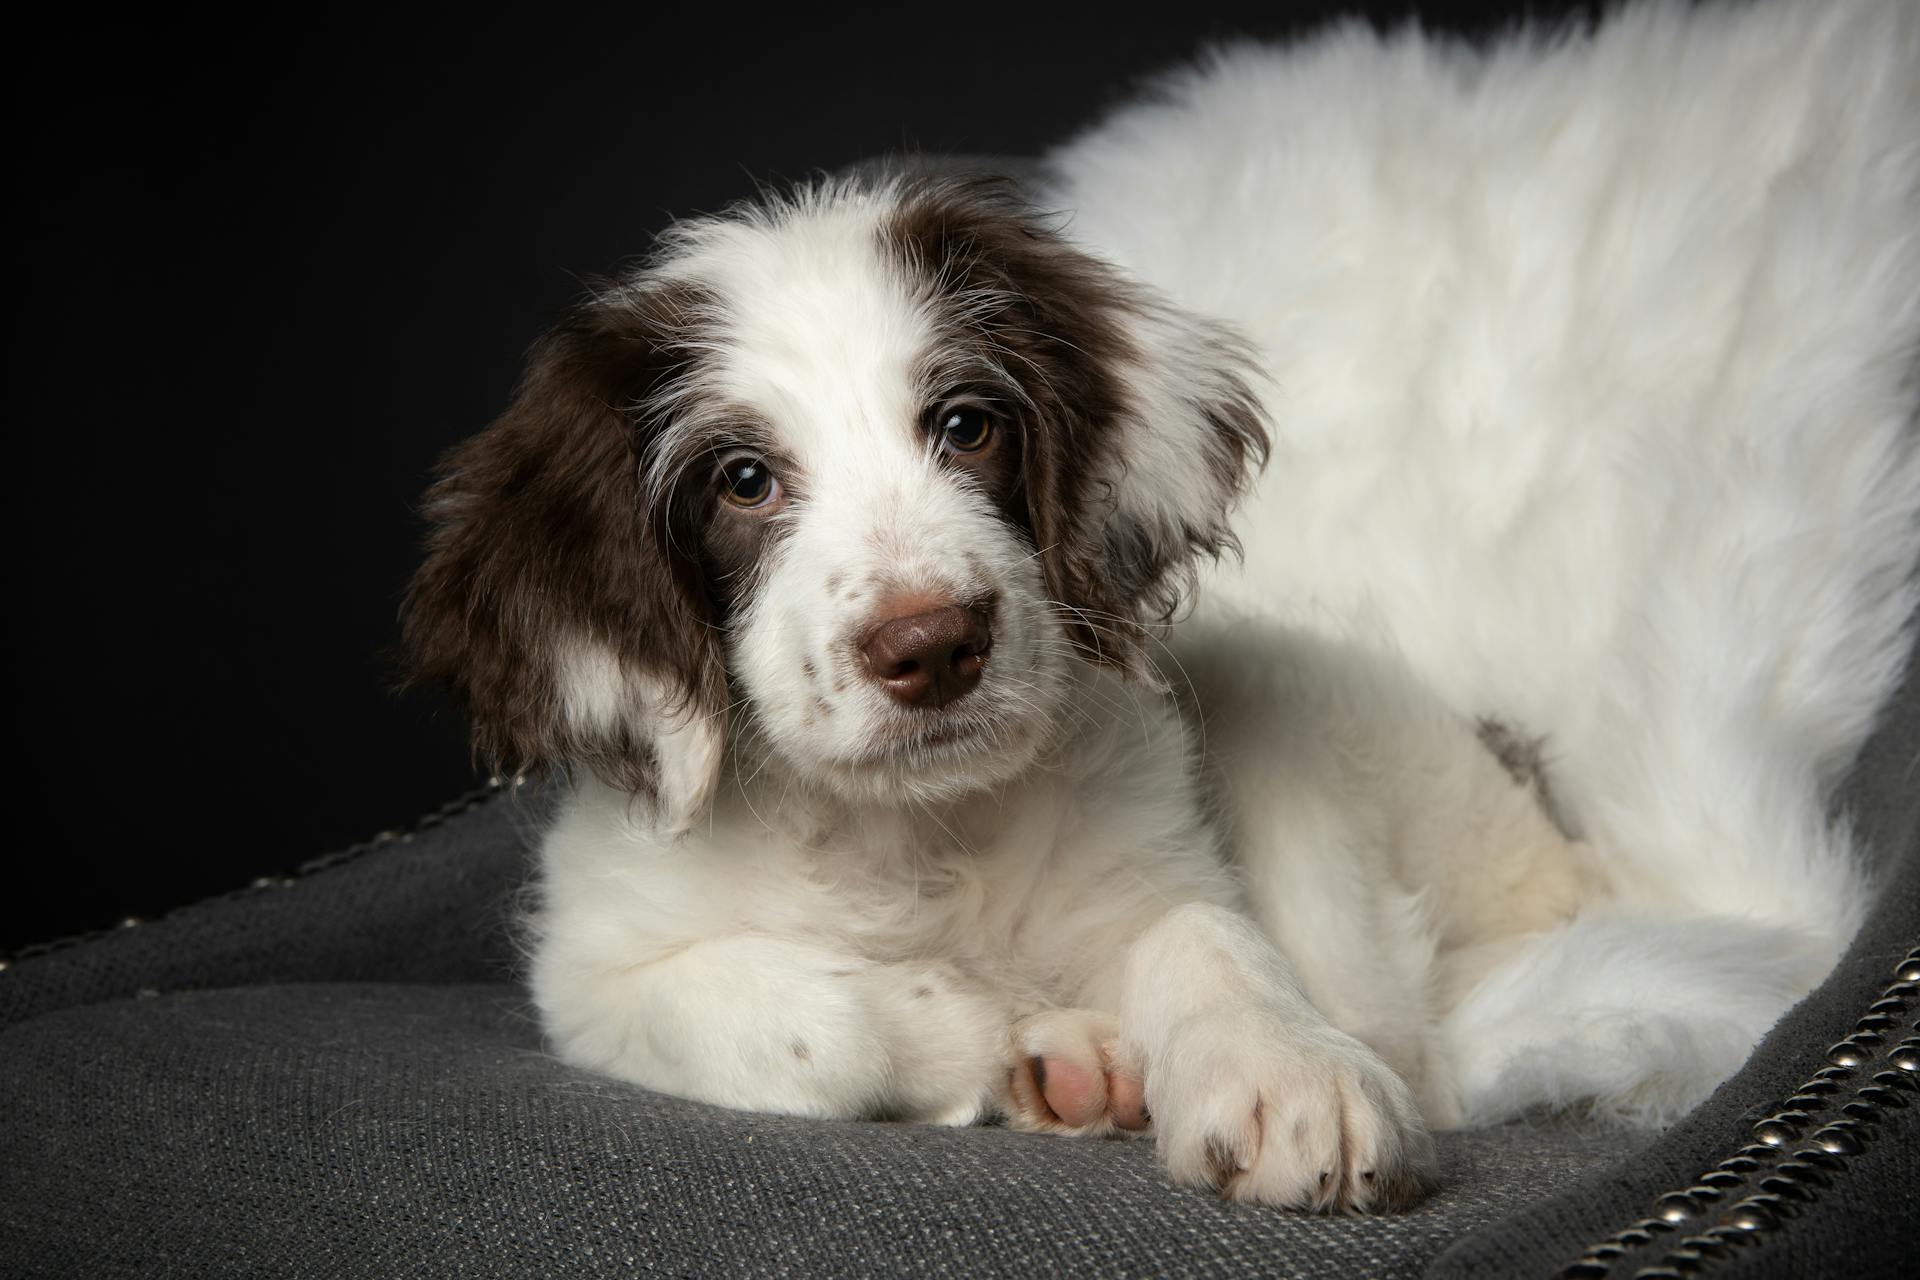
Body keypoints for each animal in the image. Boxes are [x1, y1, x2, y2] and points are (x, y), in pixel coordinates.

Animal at [397, 0, 1912, 1220]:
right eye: (744, 481)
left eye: (966, 425)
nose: (932, 645)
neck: (923, 840)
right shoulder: (594, 973)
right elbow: (800, 1022)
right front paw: (1001, 1035)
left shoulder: (1162, 849)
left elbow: (1208, 933)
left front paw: (1277, 1068)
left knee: (1402, 1017)